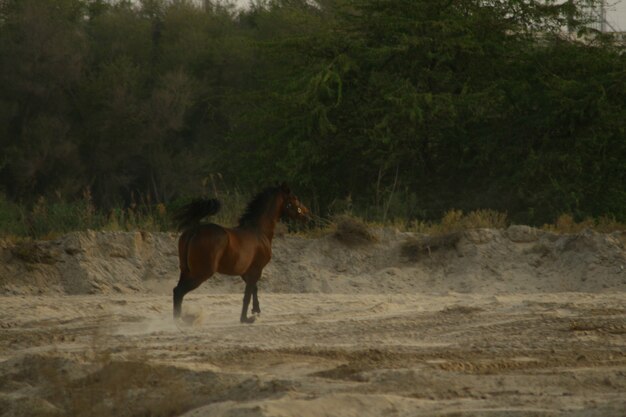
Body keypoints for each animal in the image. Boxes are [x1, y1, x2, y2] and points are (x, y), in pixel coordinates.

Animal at [171, 184, 308, 324]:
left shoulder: (246, 272)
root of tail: (195, 230)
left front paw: (256, 311)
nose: (307, 214)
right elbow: (247, 295)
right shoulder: (256, 270)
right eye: (294, 198)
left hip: (186, 271)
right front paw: (246, 319)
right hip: (201, 273)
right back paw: (178, 322)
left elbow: (253, 289)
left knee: (177, 291)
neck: (259, 231)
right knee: (179, 291)